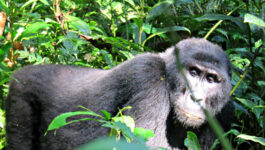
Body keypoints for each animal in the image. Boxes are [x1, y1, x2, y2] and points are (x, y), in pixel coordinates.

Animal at [5, 37, 232, 149]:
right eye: (193, 72)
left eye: (211, 79)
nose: (196, 97)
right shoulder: (147, 76)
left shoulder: (226, 112)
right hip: (20, 95)